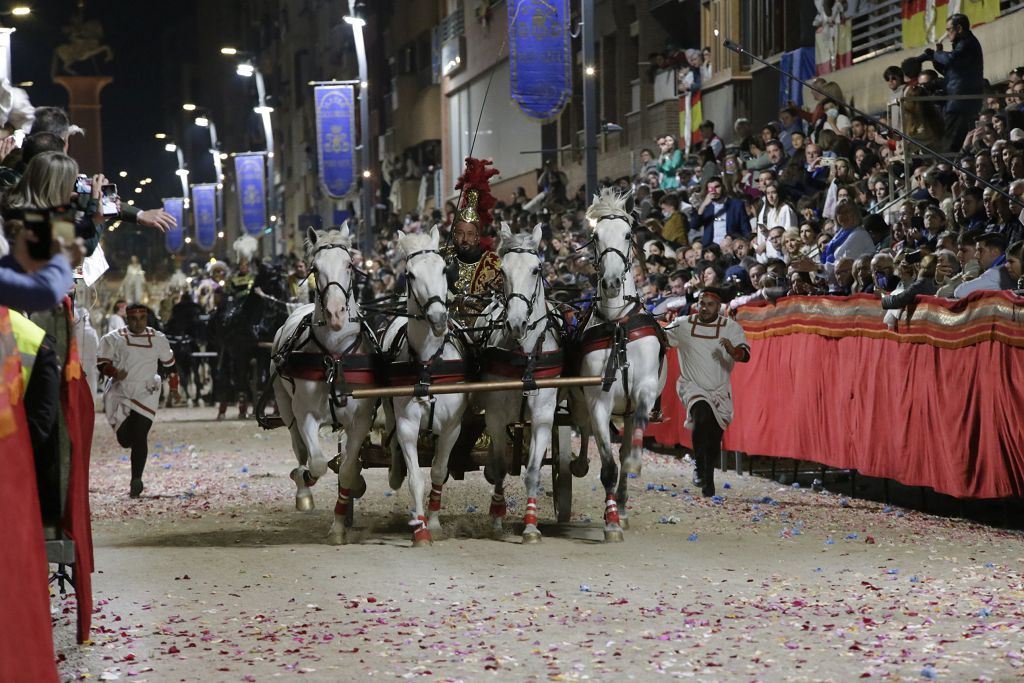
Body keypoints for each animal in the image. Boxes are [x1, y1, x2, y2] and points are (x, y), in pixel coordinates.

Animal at [272, 224, 376, 544]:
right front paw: (305, 481)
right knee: (300, 451)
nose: (335, 313)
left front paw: (340, 524)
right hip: (286, 407)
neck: (335, 355)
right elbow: (317, 463)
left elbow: (348, 470)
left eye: (349, 265)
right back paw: (302, 488)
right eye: (315, 269)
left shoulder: (361, 419)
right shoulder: (305, 414)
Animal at [382, 227, 468, 548]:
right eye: (410, 274)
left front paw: (433, 521)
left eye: (444, 269)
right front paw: (420, 529)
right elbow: (415, 477)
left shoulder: (453, 426)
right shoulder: (407, 425)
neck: (428, 363)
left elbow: (439, 471)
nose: (438, 318)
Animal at [477, 224, 561, 544]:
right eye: (503, 271)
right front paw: (497, 520)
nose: (515, 323)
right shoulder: (496, 415)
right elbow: (499, 469)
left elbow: (534, 471)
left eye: (537, 269)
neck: (524, 354)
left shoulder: (543, 415)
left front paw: (531, 526)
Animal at [573, 189, 667, 540]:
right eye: (595, 236)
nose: (612, 282)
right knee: (584, 428)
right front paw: (611, 521)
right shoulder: (597, 400)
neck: (617, 325)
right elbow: (608, 467)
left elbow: (631, 445)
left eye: (627, 235)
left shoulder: (645, 390)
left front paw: (635, 463)